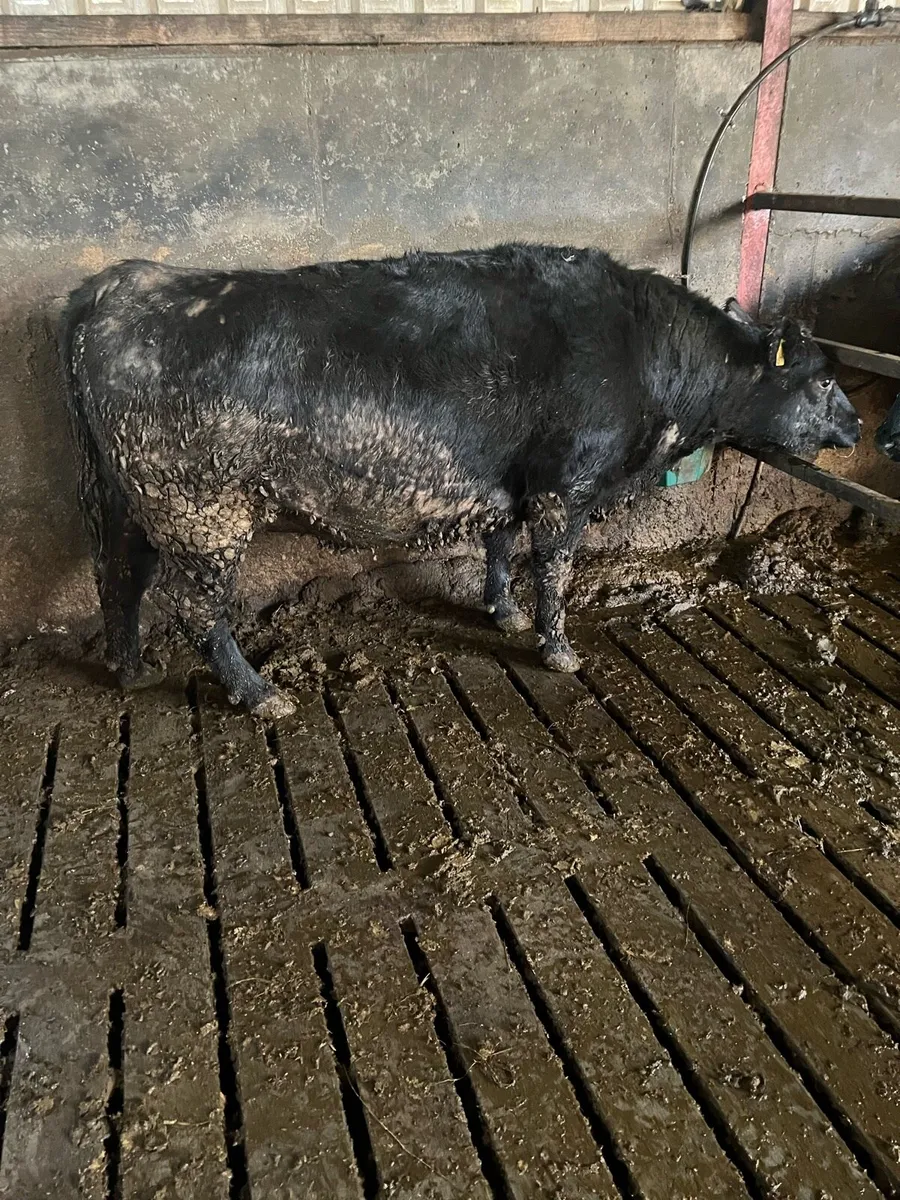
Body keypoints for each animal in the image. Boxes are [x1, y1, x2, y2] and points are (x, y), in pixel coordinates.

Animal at [60, 243, 860, 717]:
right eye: (822, 379)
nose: (856, 428)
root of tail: (120, 282)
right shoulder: (567, 485)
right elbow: (555, 568)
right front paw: (557, 648)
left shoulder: (513, 480)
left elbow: (501, 543)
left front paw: (502, 612)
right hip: (199, 506)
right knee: (195, 608)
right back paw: (258, 694)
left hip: (130, 496)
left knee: (118, 575)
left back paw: (130, 668)